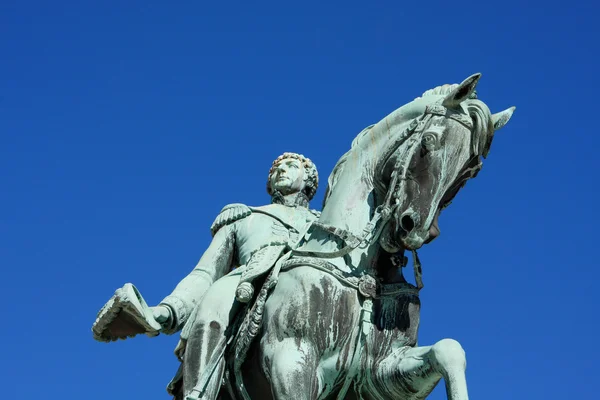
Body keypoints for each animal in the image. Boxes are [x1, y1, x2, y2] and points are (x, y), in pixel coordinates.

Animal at [223, 72, 512, 400]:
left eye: (469, 172)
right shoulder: (290, 360)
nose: (416, 229)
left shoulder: (381, 374)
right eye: (428, 141)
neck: (360, 270)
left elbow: (448, 349)